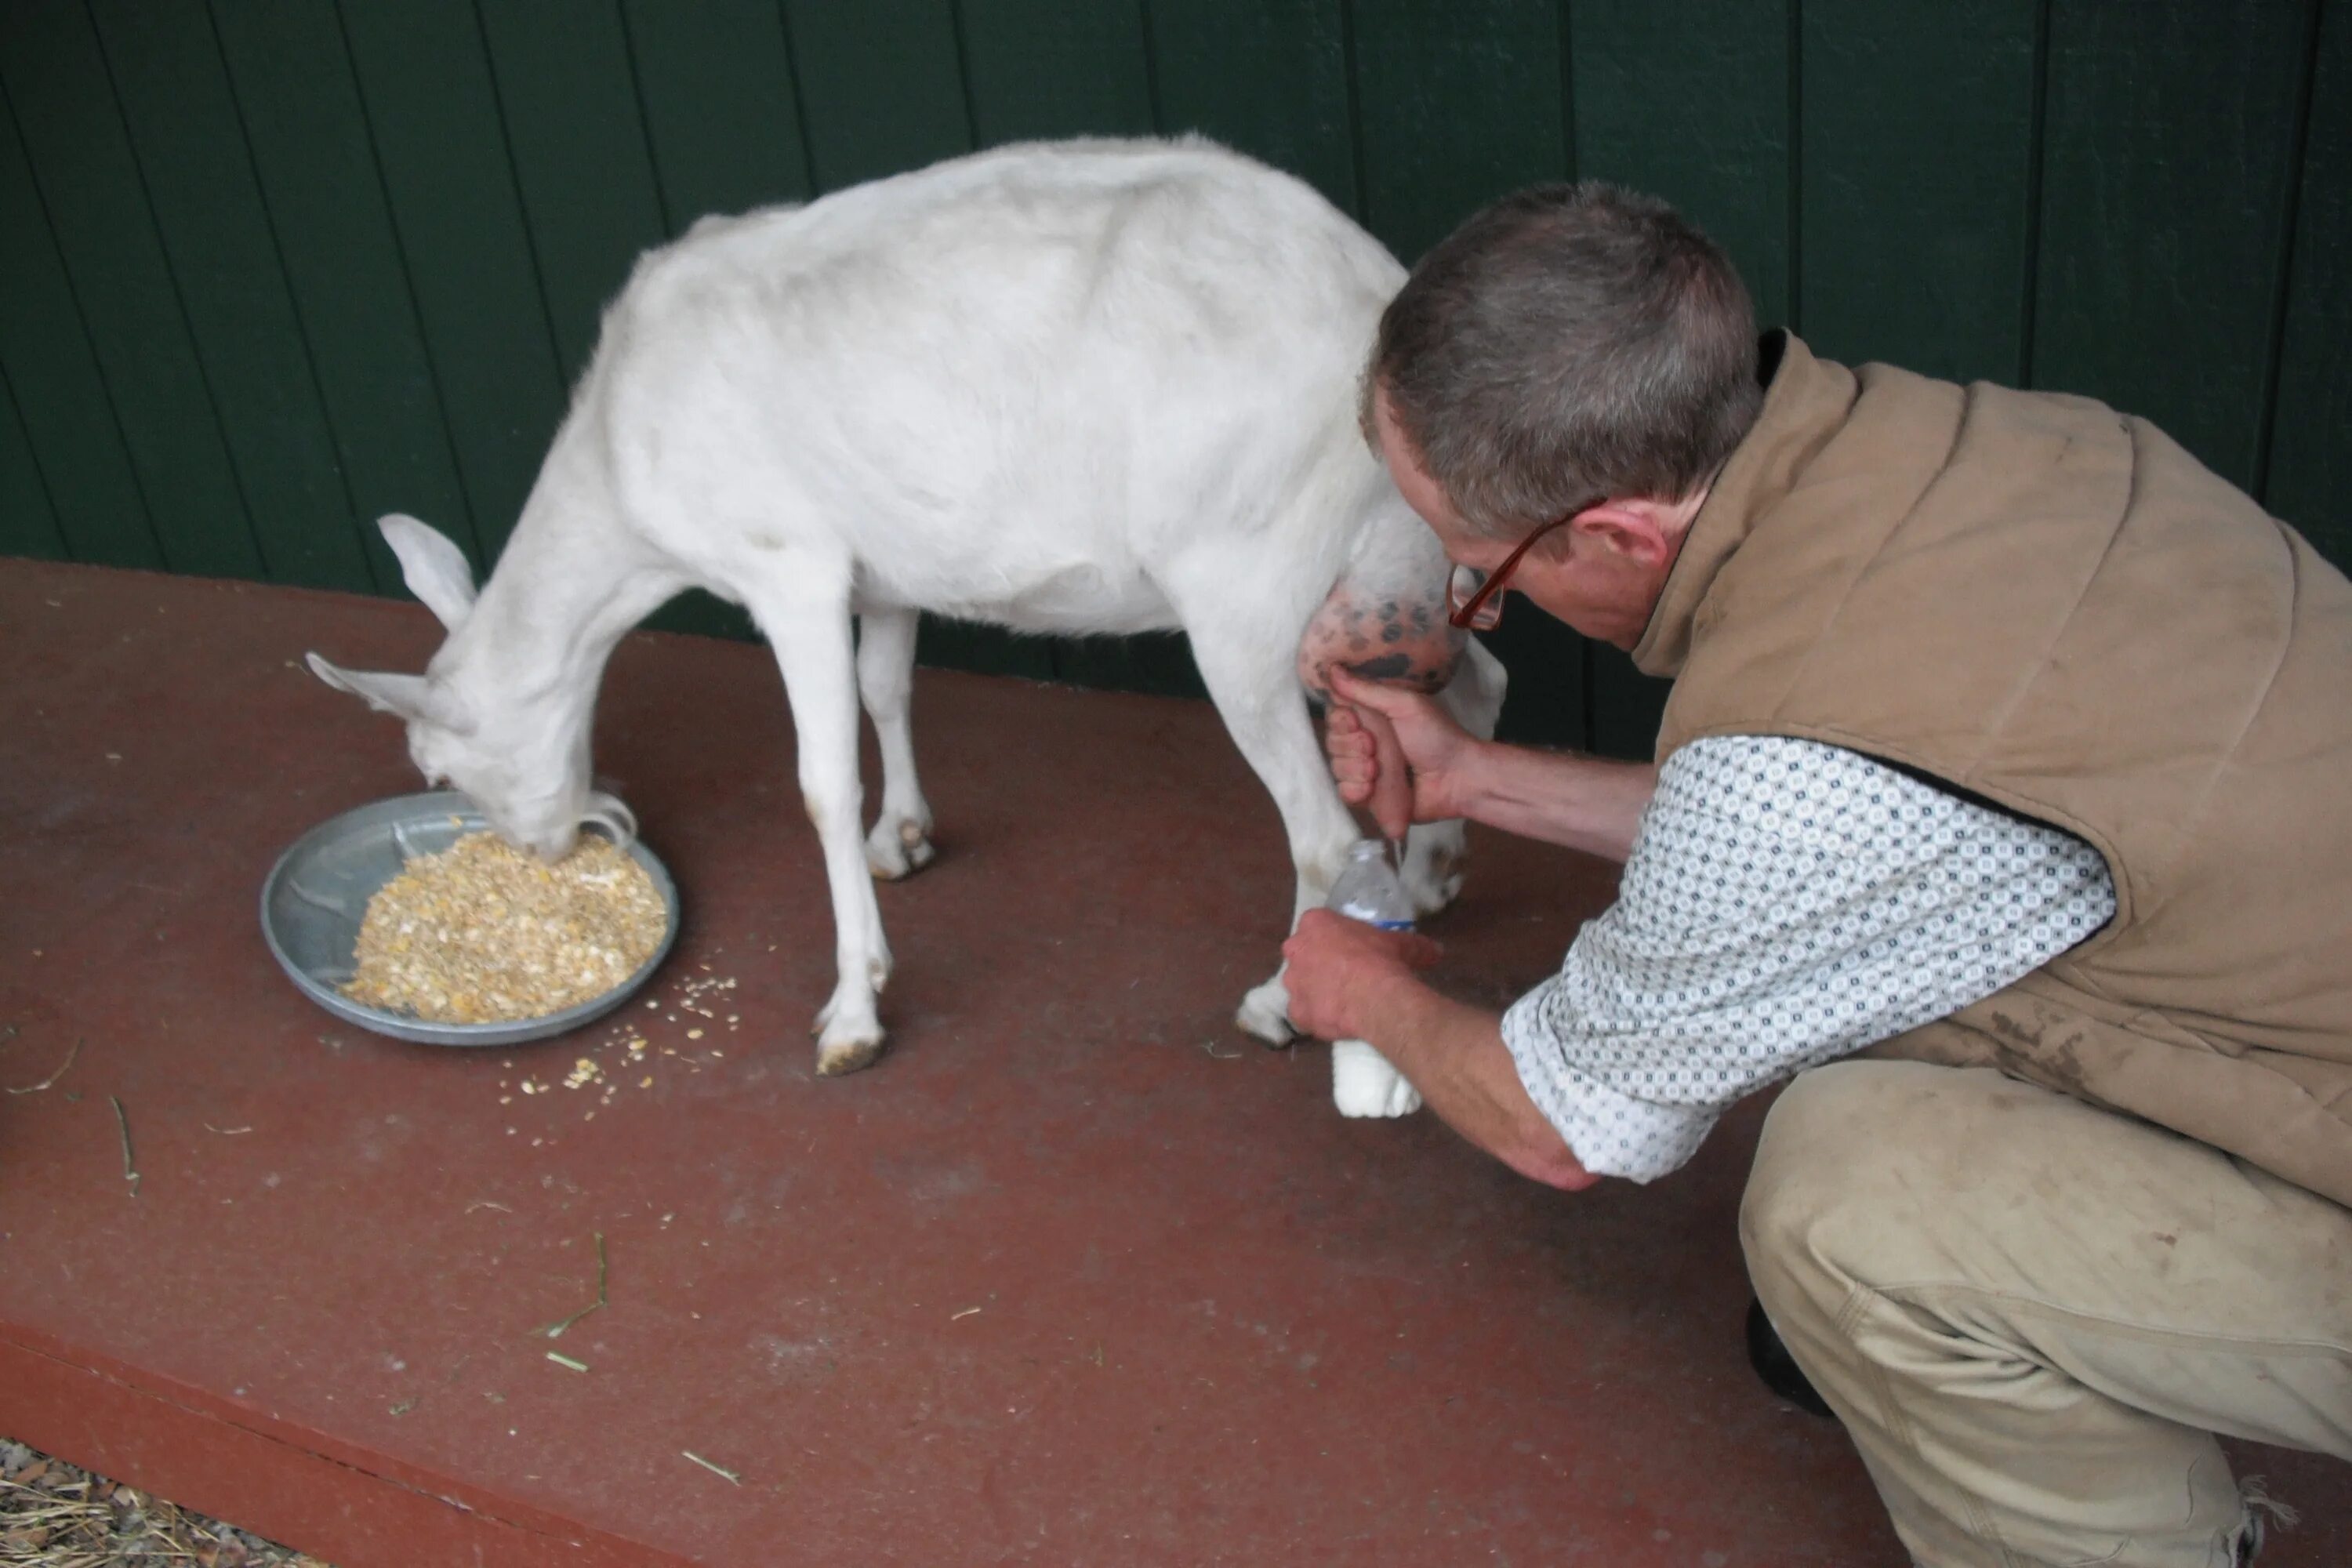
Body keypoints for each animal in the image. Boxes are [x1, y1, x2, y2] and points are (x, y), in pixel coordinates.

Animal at [308, 143, 1505, 1105]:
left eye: (434, 769)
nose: (546, 849)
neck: (621, 464)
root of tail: (1373, 290)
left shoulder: (785, 565)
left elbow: (818, 783)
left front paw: (852, 1014)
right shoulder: (880, 569)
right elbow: (887, 685)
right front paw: (907, 838)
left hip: (1246, 587)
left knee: (1323, 830)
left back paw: (1281, 1001)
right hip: (1403, 561)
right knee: (1473, 682)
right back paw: (1434, 877)